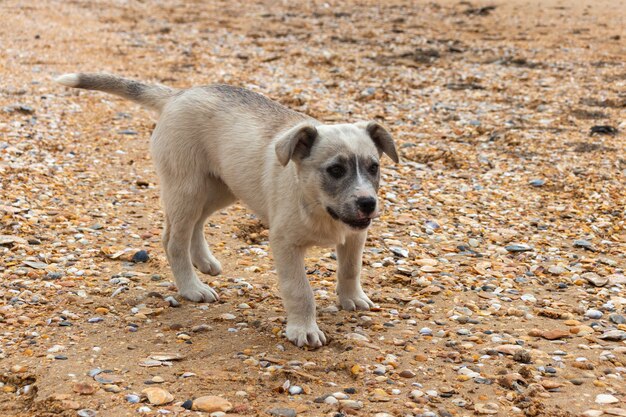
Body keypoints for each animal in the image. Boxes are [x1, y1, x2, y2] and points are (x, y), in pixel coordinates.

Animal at [56, 73, 398, 346]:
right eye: (335, 170)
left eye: (374, 167)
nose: (368, 203)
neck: (315, 203)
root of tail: (178, 94)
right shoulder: (285, 243)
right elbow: (299, 290)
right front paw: (303, 329)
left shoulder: (355, 235)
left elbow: (350, 269)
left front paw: (351, 298)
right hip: (188, 188)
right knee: (173, 240)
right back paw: (192, 287)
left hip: (221, 188)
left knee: (196, 224)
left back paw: (204, 261)